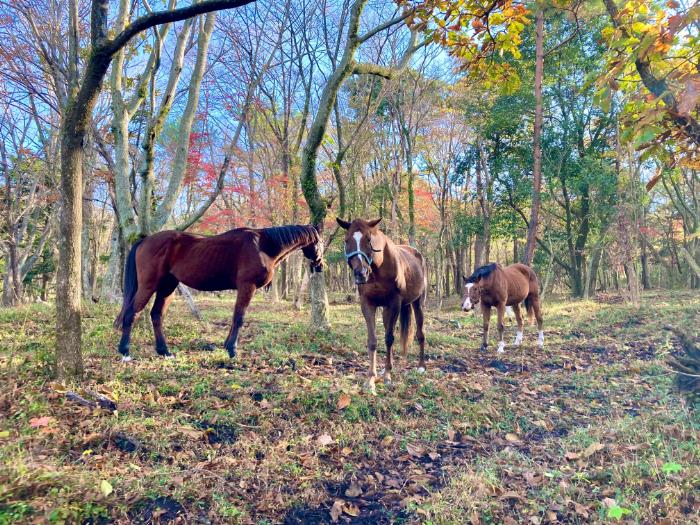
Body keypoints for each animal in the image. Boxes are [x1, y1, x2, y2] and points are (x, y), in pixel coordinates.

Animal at [115, 221, 322, 360]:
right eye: (319, 242)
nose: (319, 265)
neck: (263, 246)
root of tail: (144, 241)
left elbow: (235, 317)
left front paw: (226, 345)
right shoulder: (247, 286)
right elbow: (239, 318)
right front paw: (232, 349)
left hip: (168, 286)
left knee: (156, 315)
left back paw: (164, 351)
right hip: (149, 285)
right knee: (132, 313)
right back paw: (125, 351)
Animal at [338, 217, 430, 392]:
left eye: (369, 239)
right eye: (346, 240)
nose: (361, 274)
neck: (377, 270)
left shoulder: (394, 303)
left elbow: (388, 338)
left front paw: (387, 376)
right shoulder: (367, 304)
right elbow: (373, 340)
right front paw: (371, 379)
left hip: (417, 303)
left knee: (420, 333)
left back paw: (421, 366)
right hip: (387, 310)